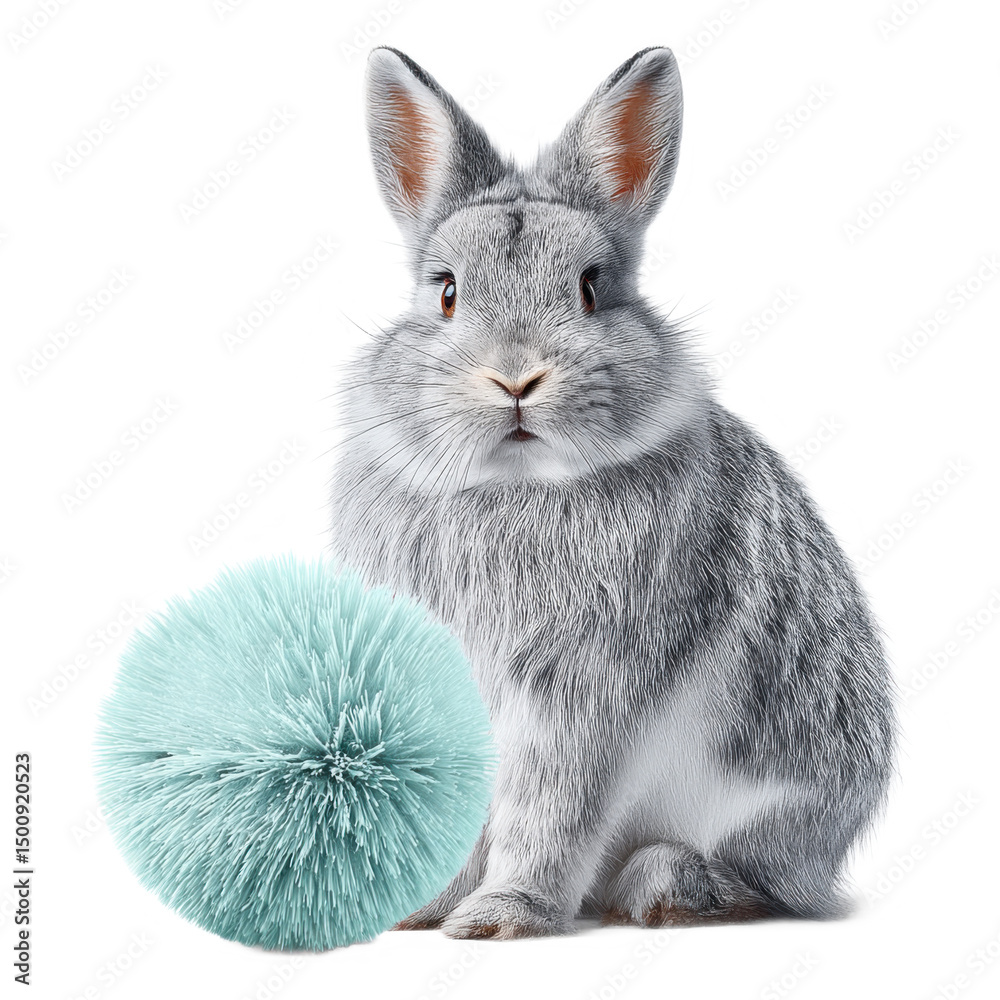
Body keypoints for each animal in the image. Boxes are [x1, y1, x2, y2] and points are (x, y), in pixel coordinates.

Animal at [328, 45, 896, 939]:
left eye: (592, 287)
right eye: (446, 291)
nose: (515, 377)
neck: (516, 486)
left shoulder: (590, 689)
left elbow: (552, 806)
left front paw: (502, 919)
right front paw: (423, 907)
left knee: (762, 882)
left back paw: (666, 888)